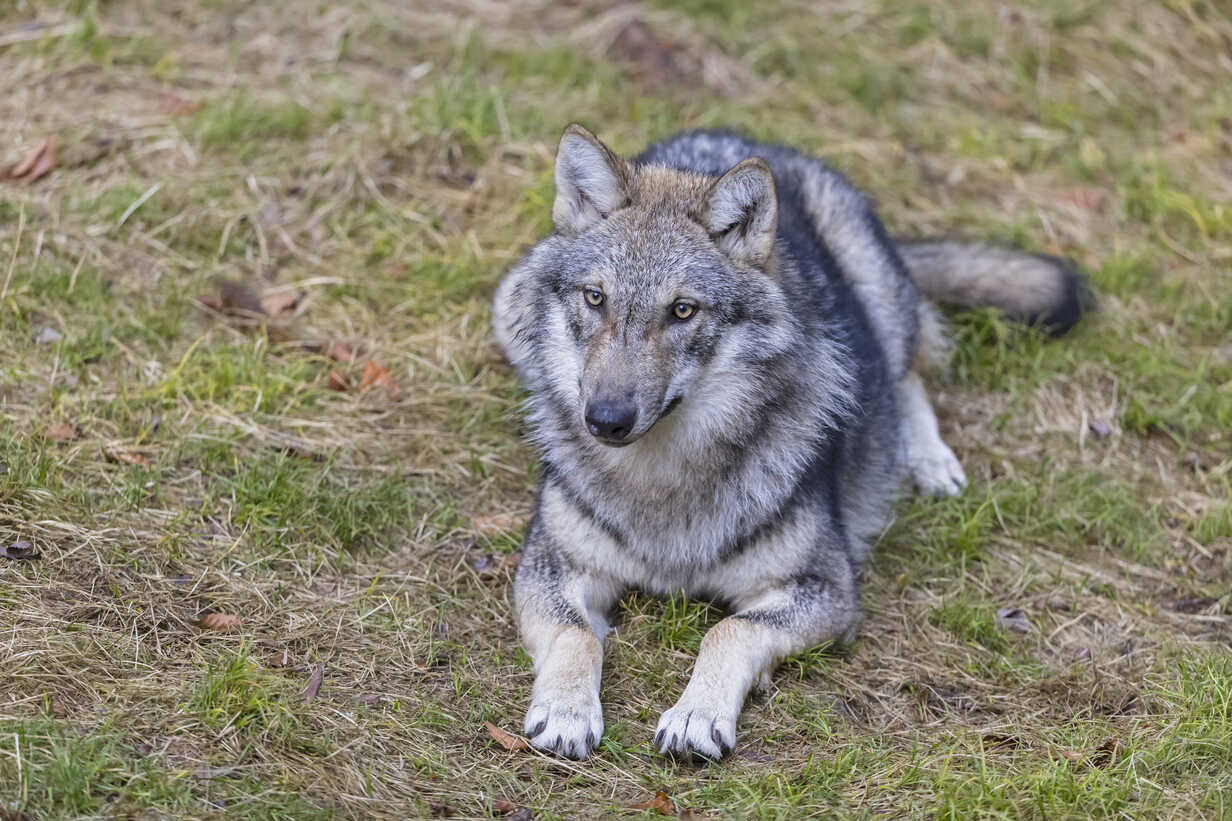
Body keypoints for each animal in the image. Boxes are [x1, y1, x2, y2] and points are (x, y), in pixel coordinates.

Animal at [485, 124, 1084, 759]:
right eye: (595, 298)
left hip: (880, 306)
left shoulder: (828, 591)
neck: (662, 480)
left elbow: (729, 629)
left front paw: (696, 714)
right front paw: (566, 710)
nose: (605, 419)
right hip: (507, 306)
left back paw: (928, 460)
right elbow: (578, 634)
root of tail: (735, 137)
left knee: (907, 369)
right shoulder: (547, 567)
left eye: (682, 310)